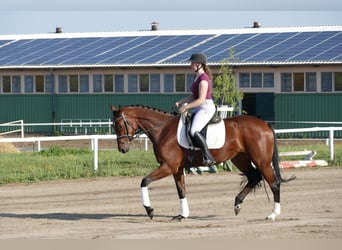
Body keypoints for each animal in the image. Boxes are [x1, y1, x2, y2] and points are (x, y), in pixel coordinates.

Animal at [111, 105, 296, 221]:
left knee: (274, 183)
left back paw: (273, 214)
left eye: (119, 125)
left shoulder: (168, 167)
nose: (122, 149)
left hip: (262, 161)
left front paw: (149, 211)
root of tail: (264, 124)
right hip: (240, 158)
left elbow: (145, 181)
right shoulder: (177, 169)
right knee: (254, 177)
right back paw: (237, 204)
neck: (162, 129)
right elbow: (181, 190)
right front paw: (182, 215)